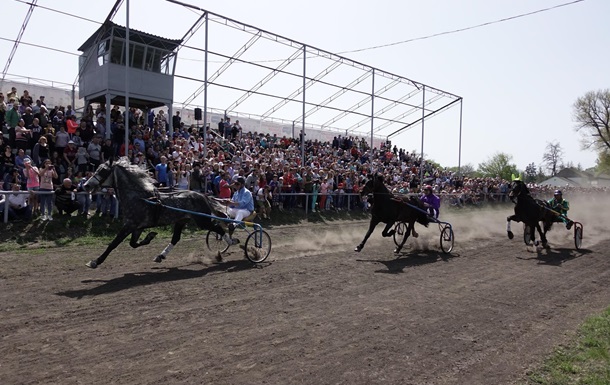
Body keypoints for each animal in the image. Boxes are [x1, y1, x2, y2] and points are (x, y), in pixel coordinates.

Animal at [83, 156, 228, 268]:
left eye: (103, 170)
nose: (86, 186)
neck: (139, 197)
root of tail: (202, 195)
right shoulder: (137, 227)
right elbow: (132, 244)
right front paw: (150, 236)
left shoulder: (130, 225)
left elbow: (114, 243)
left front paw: (95, 261)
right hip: (182, 220)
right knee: (176, 238)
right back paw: (160, 256)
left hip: (202, 221)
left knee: (219, 229)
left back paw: (230, 242)